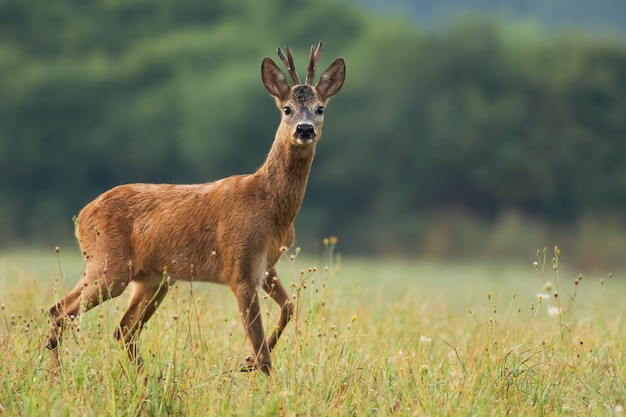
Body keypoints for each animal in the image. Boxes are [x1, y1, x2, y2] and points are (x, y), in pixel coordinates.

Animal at [45, 42, 344, 374]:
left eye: (320, 108)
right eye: (287, 109)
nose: (305, 130)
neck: (269, 204)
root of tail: (82, 215)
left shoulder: (266, 266)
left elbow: (289, 307)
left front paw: (248, 362)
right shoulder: (238, 267)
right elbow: (262, 347)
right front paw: (261, 374)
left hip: (151, 277)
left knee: (120, 328)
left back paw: (142, 379)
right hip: (110, 264)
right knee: (62, 311)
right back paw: (58, 376)